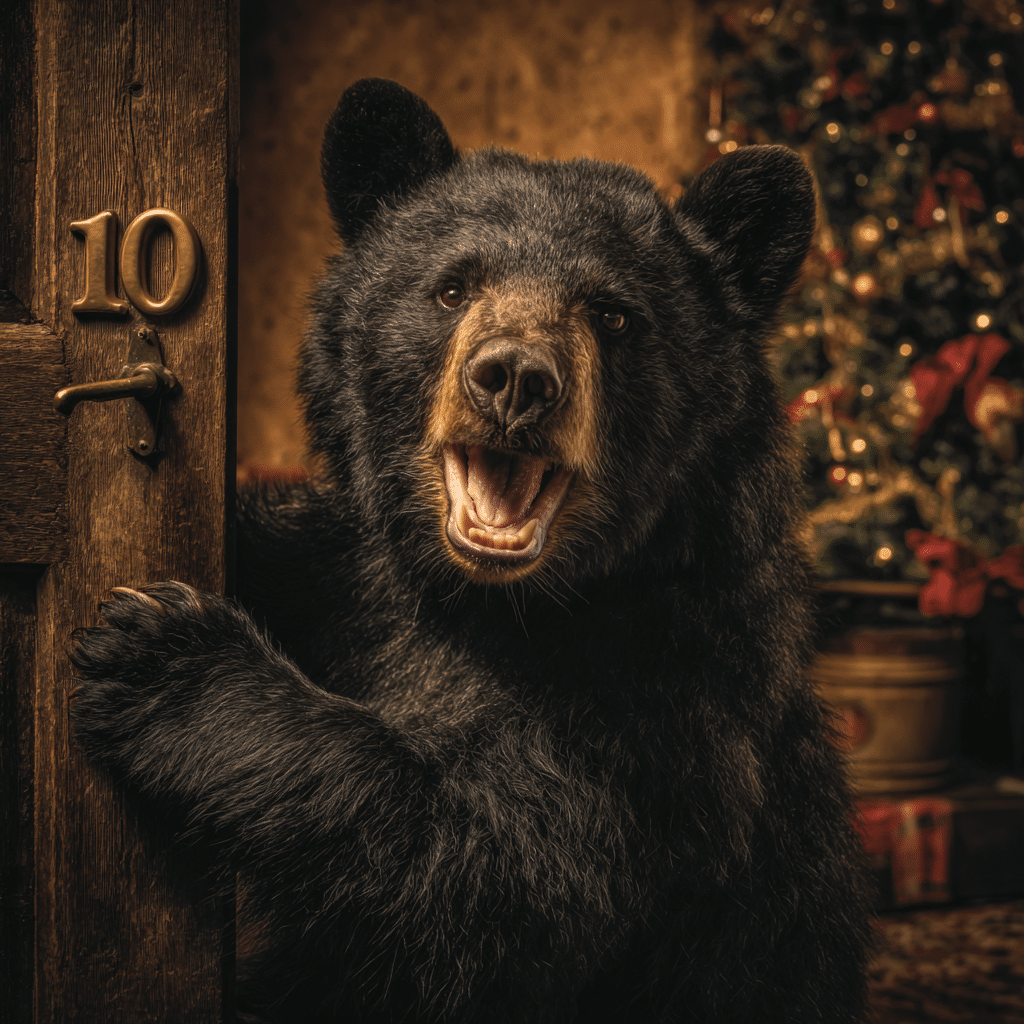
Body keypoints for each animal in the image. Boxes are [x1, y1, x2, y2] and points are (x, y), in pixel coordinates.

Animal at [70, 78, 873, 1024]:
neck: (489, 600)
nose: (516, 379)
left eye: (612, 312)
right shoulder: (346, 575)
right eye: (453, 287)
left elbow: (494, 881)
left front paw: (157, 652)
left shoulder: (673, 702)